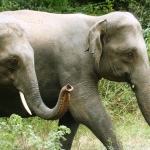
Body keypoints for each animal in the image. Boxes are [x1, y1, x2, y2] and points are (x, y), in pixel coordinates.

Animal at [0, 9, 149, 149]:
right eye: (129, 54)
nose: (67, 86)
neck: (96, 20)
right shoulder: (73, 67)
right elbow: (86, 111)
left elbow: (71, 119)